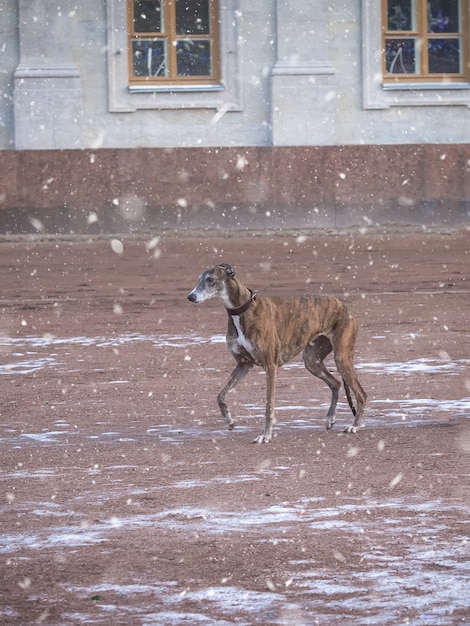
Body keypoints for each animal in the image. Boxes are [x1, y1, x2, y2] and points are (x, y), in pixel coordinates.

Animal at [188, 264, 368, 444]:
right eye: (199, 279)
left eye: (210, 279)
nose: (190, 297)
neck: (243, 311)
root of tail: (344, 307)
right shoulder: (244, 364)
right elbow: (220, 396)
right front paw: (229, 420)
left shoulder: (270, 366)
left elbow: (269, 406)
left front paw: (265, 435)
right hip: (312, 361)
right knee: (336, 383)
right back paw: (330, 418)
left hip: (341, 358)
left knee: (361, 394)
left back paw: (355, 425)